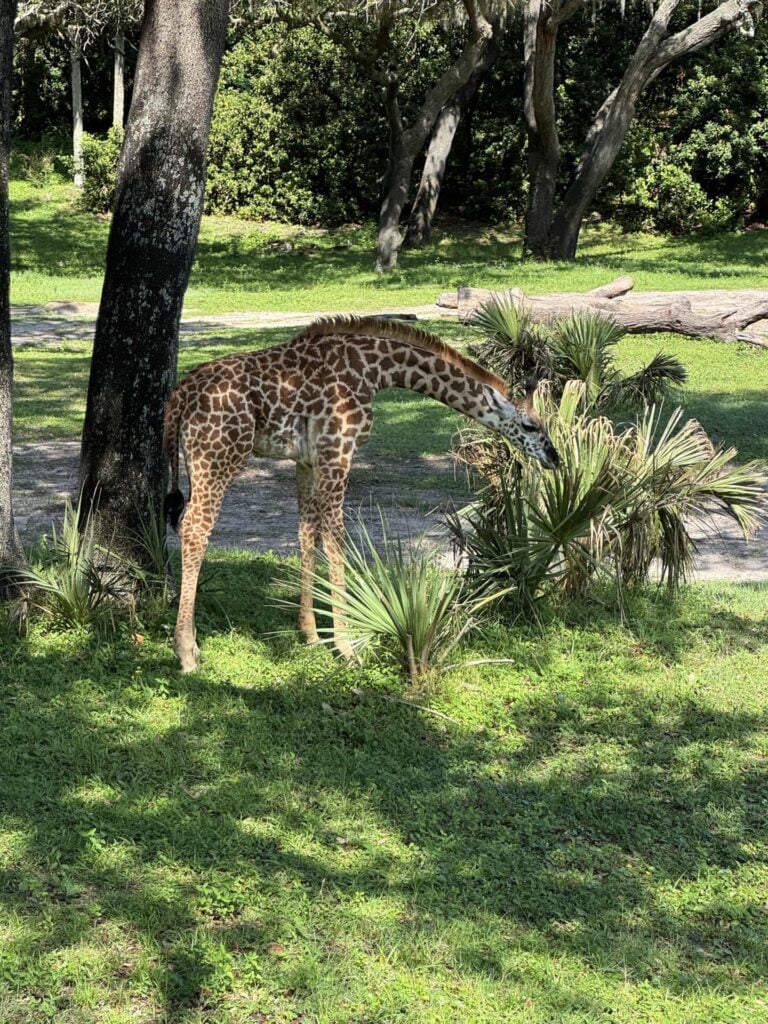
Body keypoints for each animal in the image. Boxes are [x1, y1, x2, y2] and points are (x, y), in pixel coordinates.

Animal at [163, 317, 560, 672]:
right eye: (530, 425)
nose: (553, 457)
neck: (376, 371)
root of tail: (180, 396)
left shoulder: (308, 460)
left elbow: (307, 535)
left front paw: (310, 634)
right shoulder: (338, 452)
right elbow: (337, 539)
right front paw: (347, 646)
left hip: (200, 461)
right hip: (219, 455)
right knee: (195, 527)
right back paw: (186, 651)